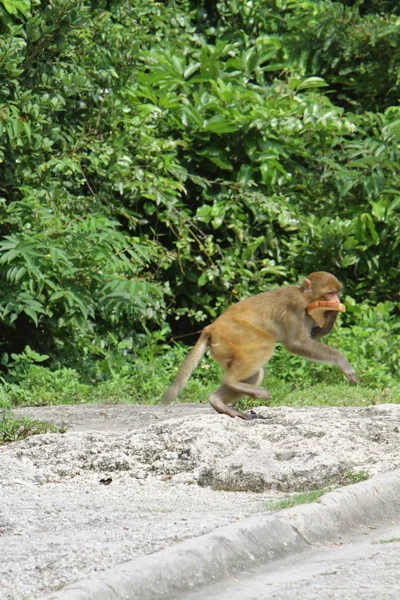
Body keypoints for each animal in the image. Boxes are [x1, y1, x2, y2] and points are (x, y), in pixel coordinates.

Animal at [161, 272, 358, 418]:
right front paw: (343, 363)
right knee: (264, 346)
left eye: (336, 292)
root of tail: (211, 327)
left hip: (223, 348)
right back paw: (232, 382)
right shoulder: (295, 306)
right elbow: (295, 343)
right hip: (234, 334)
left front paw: (333, 314)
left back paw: (217, 400)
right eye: (329, 293)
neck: (305, 296)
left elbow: (314, 336)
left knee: (254, 371)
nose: (336, 300)